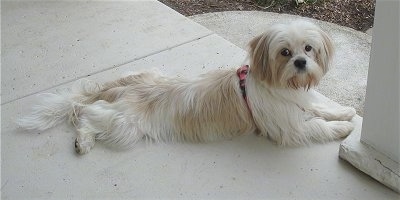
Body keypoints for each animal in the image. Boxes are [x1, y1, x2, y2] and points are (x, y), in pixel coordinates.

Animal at [18, 19, 356, 155]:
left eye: (308, 48)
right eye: (285, 52)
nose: (300, 62)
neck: (284, 87)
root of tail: (124, 83)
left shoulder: (304, 101)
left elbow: (322, 107)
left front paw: (346, 112)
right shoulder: (289, 128)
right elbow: (315, 126)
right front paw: (343, 130)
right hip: (123, 124)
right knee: (86, 114)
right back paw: (83, 141)